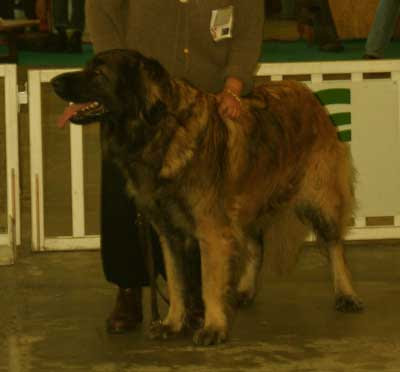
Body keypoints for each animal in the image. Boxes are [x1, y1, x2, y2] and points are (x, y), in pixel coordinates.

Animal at [51, 48, 364, 346]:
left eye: (99, 73)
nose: (54, 82)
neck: (161, 130)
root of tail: (306, 92)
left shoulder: (211, 230)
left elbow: (208, 283)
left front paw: (213, 327)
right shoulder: (169, 232)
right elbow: (177, 282)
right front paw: (172, 322)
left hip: (319, 199)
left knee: (335, 246)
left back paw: (346, 294)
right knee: (257, 245)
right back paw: (245, 290)